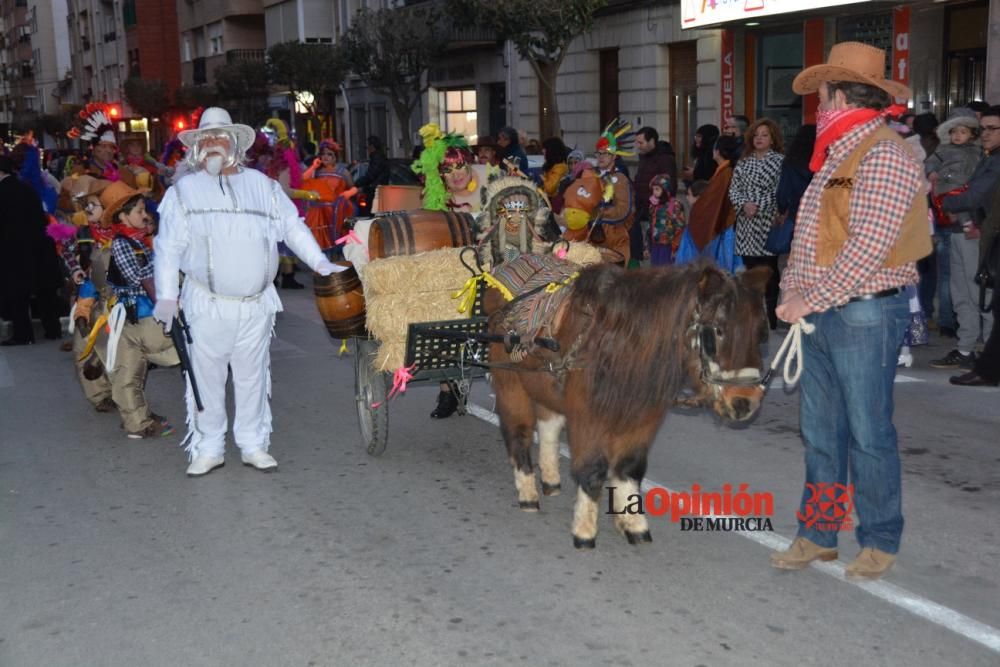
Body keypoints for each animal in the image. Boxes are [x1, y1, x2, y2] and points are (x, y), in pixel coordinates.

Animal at [488, 260, 768, 548]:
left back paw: (551, 480)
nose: (746, 401)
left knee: (548, 426)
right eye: (718, 331)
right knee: (518, 433)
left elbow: (629, 468)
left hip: (544, 386)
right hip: (510, 382)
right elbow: (593, 470)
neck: (622, 345)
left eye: (761, 333)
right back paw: (528, 494)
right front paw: (584, 530)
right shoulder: (587, 417)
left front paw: (634, 525)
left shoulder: (642, 420)